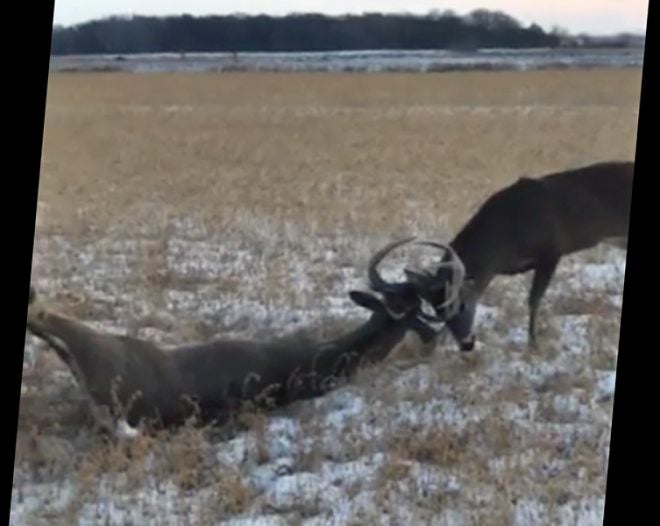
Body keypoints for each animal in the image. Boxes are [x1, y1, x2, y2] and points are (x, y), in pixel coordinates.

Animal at [400, 161, 632, 350]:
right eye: (438, 313)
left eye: (462, 305)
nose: (466, 343)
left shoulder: (551, 251)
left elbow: (533, 299)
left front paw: (533, 343)